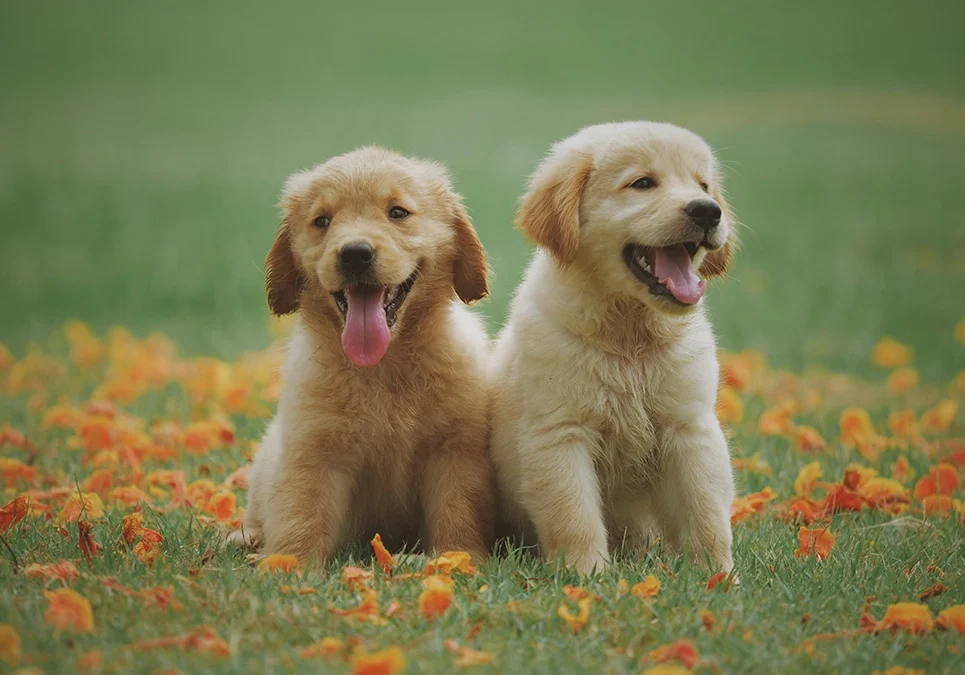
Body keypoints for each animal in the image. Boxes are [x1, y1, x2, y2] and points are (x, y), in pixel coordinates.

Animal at [230, 147, 494, 564]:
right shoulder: (313, 450)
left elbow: (458, 509)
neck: (383, 367)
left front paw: (458, 558)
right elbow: (300, 512)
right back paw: (247, 538)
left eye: (398, 212)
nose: (355, 254)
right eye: (322, 221)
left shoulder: (454, 449)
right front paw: (288, 564)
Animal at [490, 121, 740, 576]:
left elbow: (706, 511)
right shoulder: (561, 434)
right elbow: (574, 516)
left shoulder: (689, 428)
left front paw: (718, 576)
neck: (629, 336)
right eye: (642, 184)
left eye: (703, 185)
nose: (708, 211)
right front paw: (587, 576)